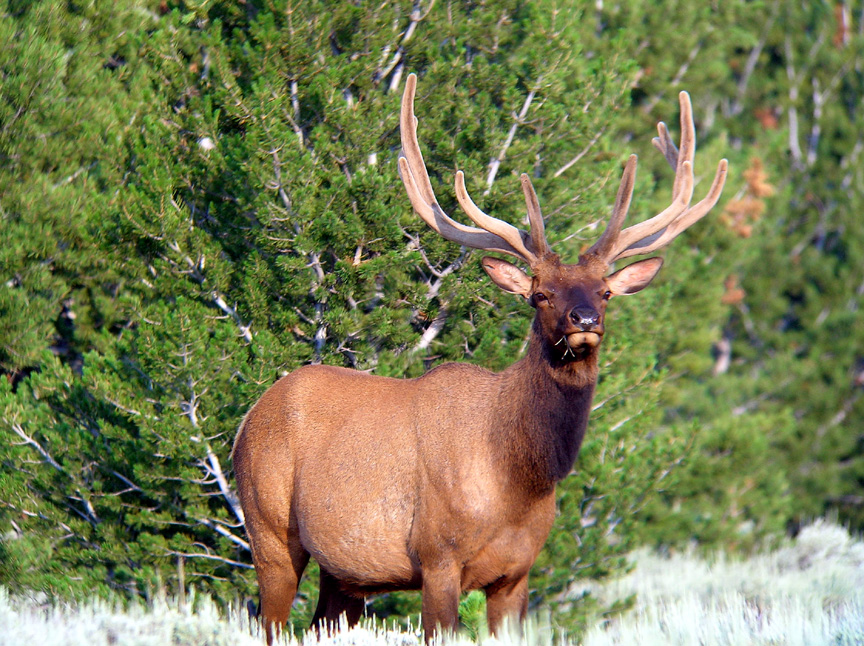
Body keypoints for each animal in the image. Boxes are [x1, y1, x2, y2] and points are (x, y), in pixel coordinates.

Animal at [231, 73, 727, 642]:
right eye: (539, 294)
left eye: (604, 292)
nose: (583, 321)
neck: (517, 479)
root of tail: (246, 420)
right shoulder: (437, 555)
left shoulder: (517, 573)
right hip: (269, 529)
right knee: (269, 618)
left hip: (344, 574)